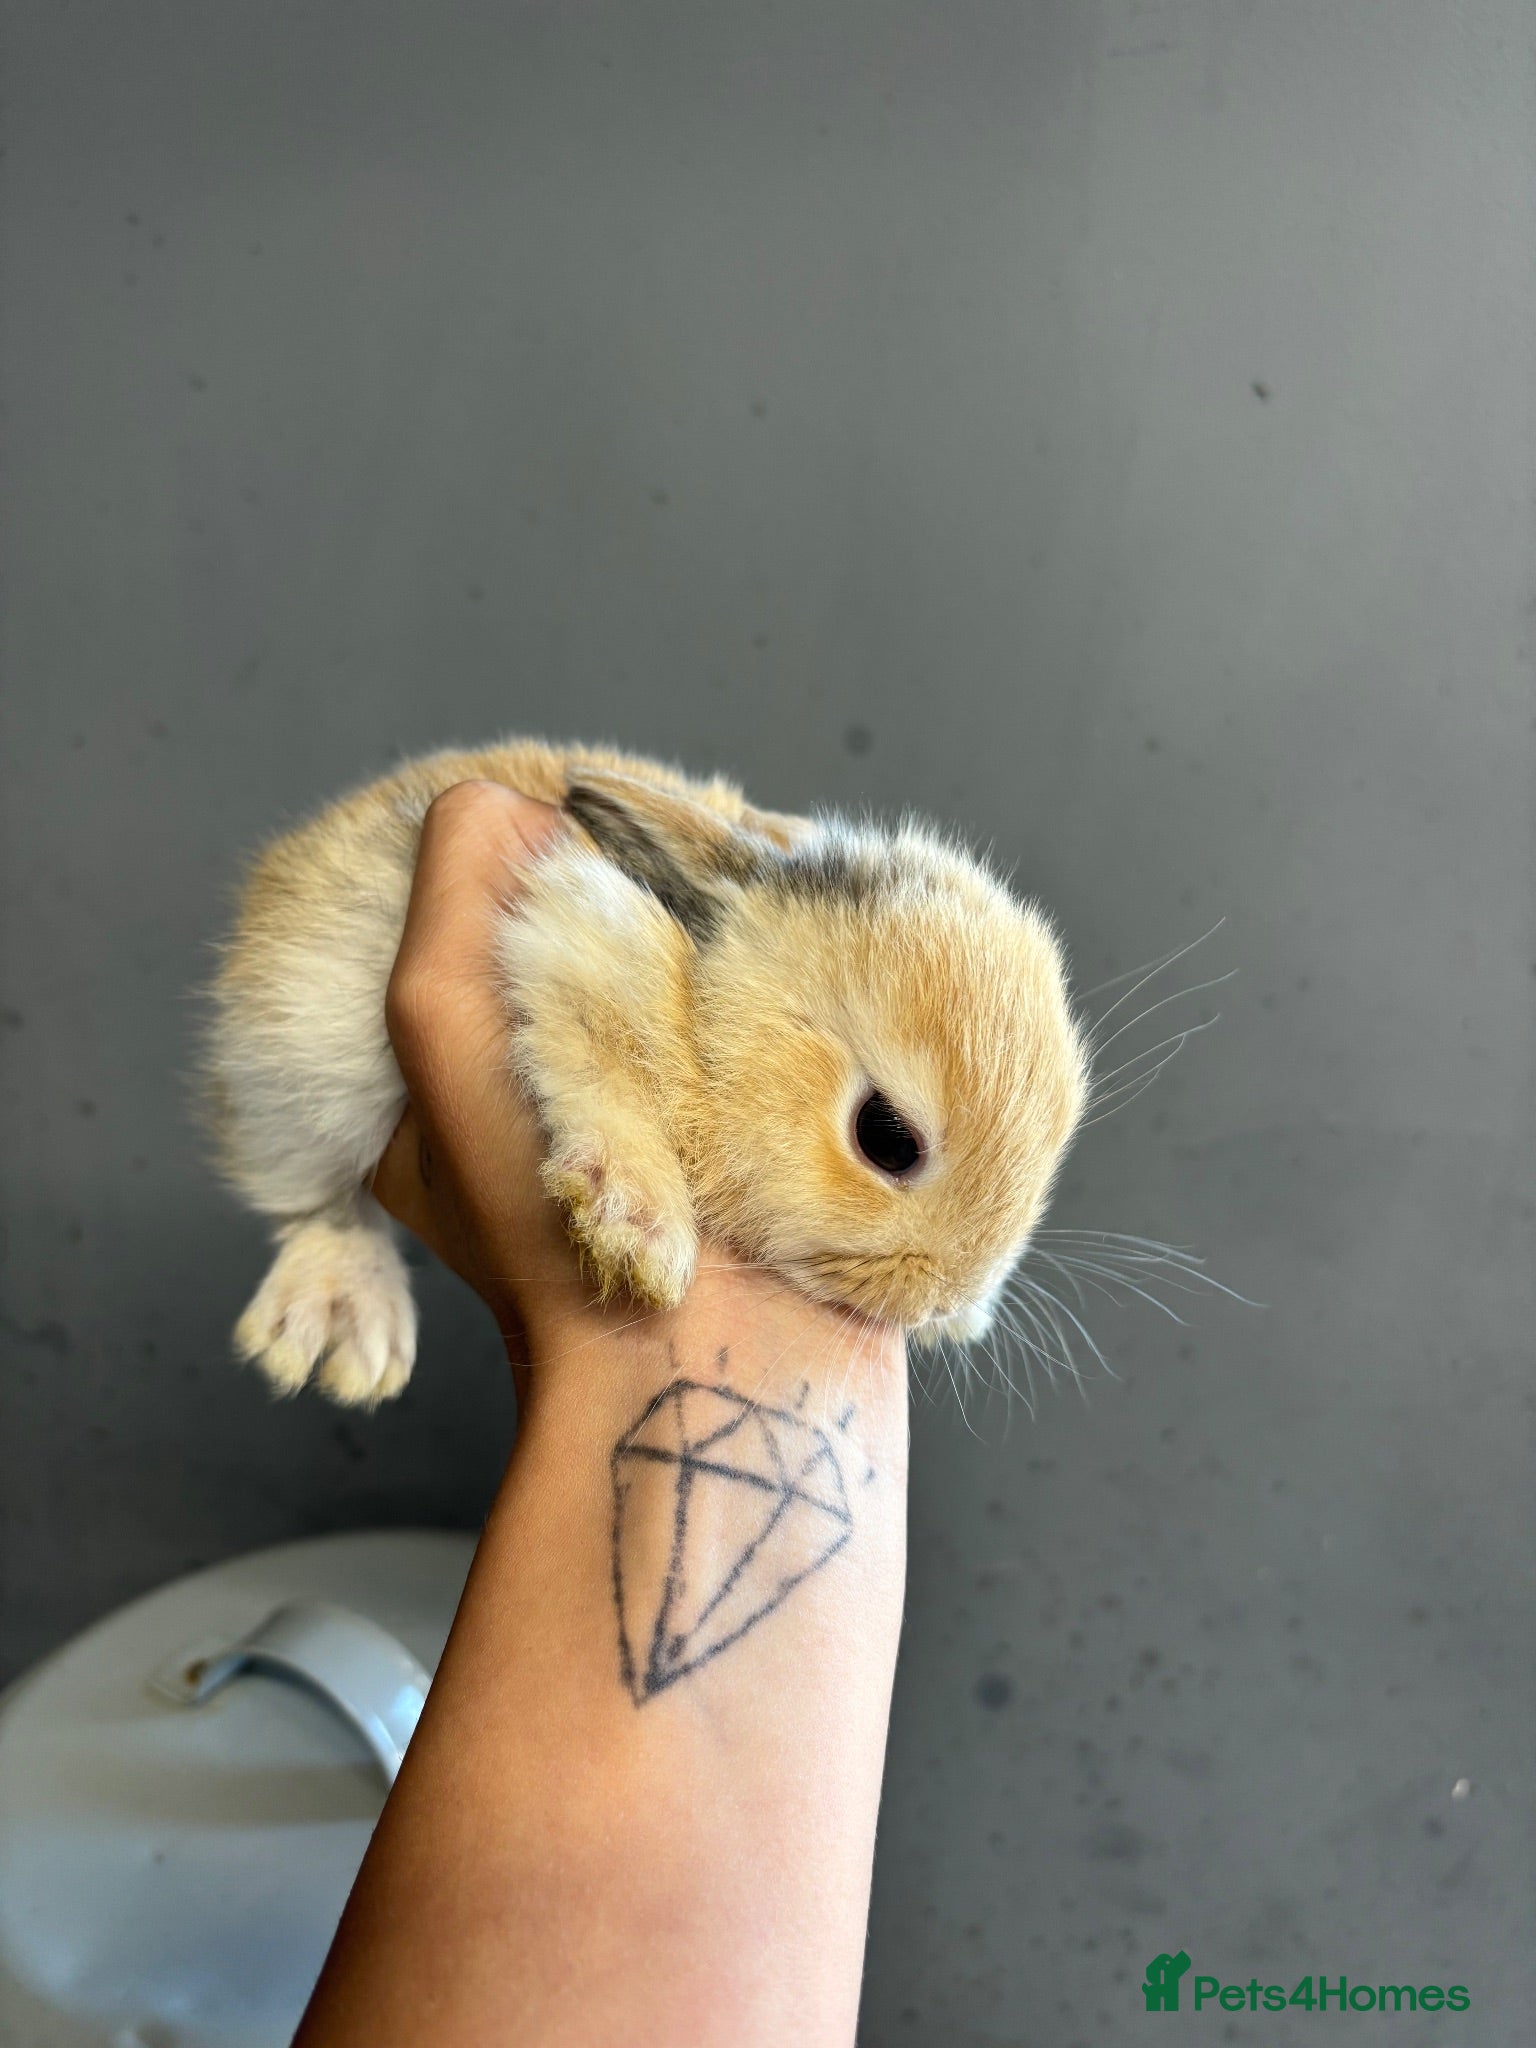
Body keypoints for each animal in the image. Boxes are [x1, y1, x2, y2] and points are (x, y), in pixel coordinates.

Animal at [202, 738, 1091, 1408]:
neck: (709, 1019)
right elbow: (610, 1087)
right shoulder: (573, 943)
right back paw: (340, 1321)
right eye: (886, 1137)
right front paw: (640, 1235)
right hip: (301, 1065)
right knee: (322, 1207)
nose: (951, 1299)